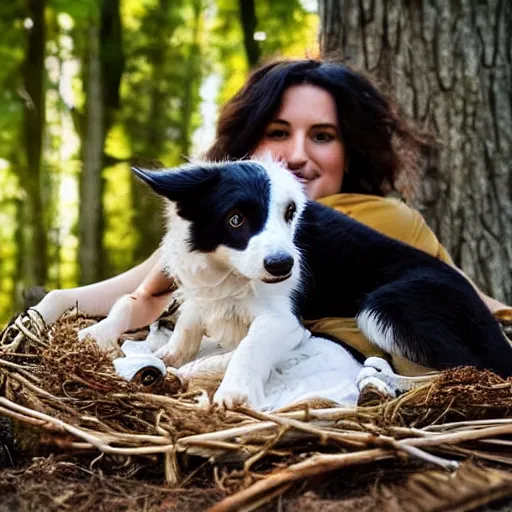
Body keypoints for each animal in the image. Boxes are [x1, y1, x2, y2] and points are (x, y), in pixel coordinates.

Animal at [131, 156, 512, 408]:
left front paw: (235, 391)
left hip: (384, 306)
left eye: (290, 214)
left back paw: (388, 381)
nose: (284, 265)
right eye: (235, 219)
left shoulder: (285, 321)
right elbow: (189, 324)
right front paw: (164, 354)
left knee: (480, 368)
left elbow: (250, 344)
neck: (230, 271)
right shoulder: (206, 290)